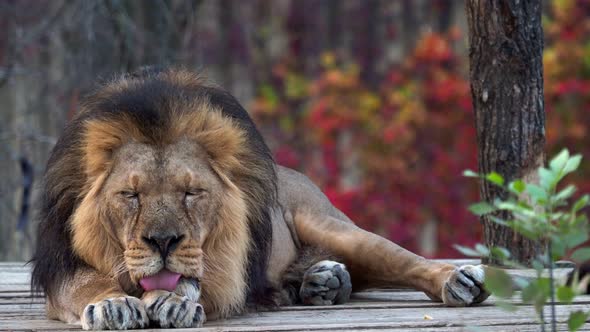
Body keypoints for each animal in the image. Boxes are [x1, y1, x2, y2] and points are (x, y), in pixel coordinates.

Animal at [31, 68, 490, 330]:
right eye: (130, 194)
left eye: (192, 192)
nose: (163, 242)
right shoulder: (60, 269)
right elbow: (87, 283)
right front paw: (112, 305)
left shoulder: (228, 268)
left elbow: (198, 282)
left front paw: (172, 301)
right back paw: (324, 280)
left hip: (333, 225)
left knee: (403, 260)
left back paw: (458, 279)